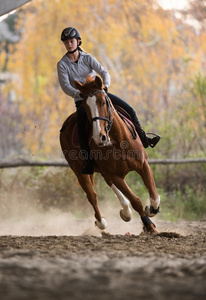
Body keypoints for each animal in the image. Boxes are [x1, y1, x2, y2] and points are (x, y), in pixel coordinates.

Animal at [59, 74, 159, 234]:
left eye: (103, 102)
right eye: (86, 107)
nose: (100, 137)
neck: (119, 141)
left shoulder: (143, 165)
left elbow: (154, 196)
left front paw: (151, 211)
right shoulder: (114, 175)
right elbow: (135, 201)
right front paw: (149, 226)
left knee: (108, 185)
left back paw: (126, 212)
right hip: (79, 171)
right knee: (92, 196)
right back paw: (102, 223)